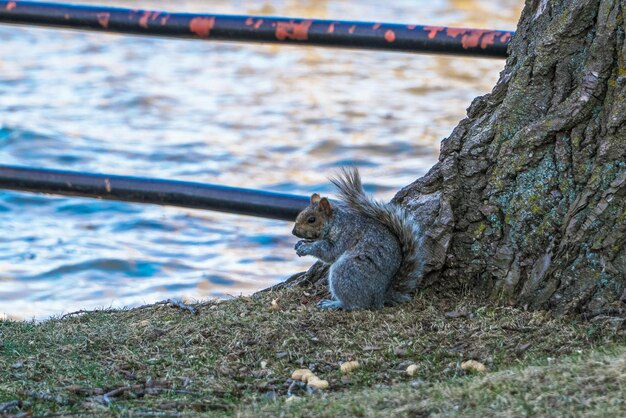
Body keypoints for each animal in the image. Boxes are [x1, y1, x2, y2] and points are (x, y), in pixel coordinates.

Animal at [292, 167, 420, 310]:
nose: (293, 232)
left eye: (312, 220)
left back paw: (333, 304)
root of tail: (380, 297)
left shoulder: (346, 235)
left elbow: (328, 252)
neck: (336, 222)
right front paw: (299, 244)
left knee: (355, 305)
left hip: (347, 271)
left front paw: (306, 248)